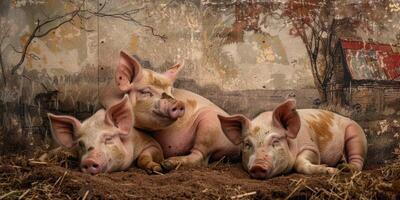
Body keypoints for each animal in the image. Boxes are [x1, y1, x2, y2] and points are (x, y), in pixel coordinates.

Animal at [100, 51, 241, 170]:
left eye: (171, 90)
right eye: (145, 92)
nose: (178, 103)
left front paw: (158, 167)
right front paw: (156, 168)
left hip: (209, 125)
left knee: (201, 157)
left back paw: (168, 163)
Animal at [217, 99, 368, 179]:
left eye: (275, 141)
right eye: (247, 144)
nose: (258, 166)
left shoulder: (311, 148)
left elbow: (299, 162)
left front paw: (331, 170)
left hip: (356, 135)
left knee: (358, 159)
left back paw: (345, 168)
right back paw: (342, 164)